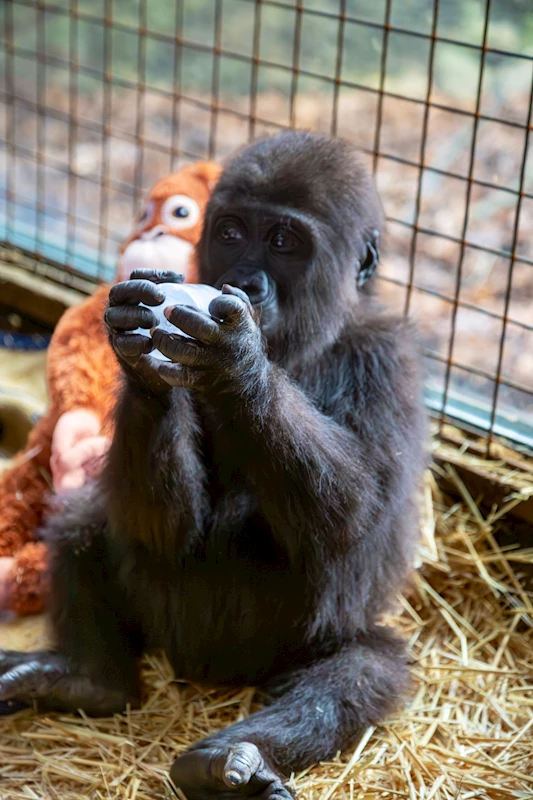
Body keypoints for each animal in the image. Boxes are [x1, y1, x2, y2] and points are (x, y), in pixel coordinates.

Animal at [0, 134, 426, 796]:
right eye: (229, 232)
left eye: (283, 242)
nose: (244, 281)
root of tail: (204, 673)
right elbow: (159, 526)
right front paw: (140, 362)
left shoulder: (387, 360)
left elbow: (355, 518)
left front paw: (238, 363)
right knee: (82, 525)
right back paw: (88, 680)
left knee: (364, 668)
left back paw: (232, 758)